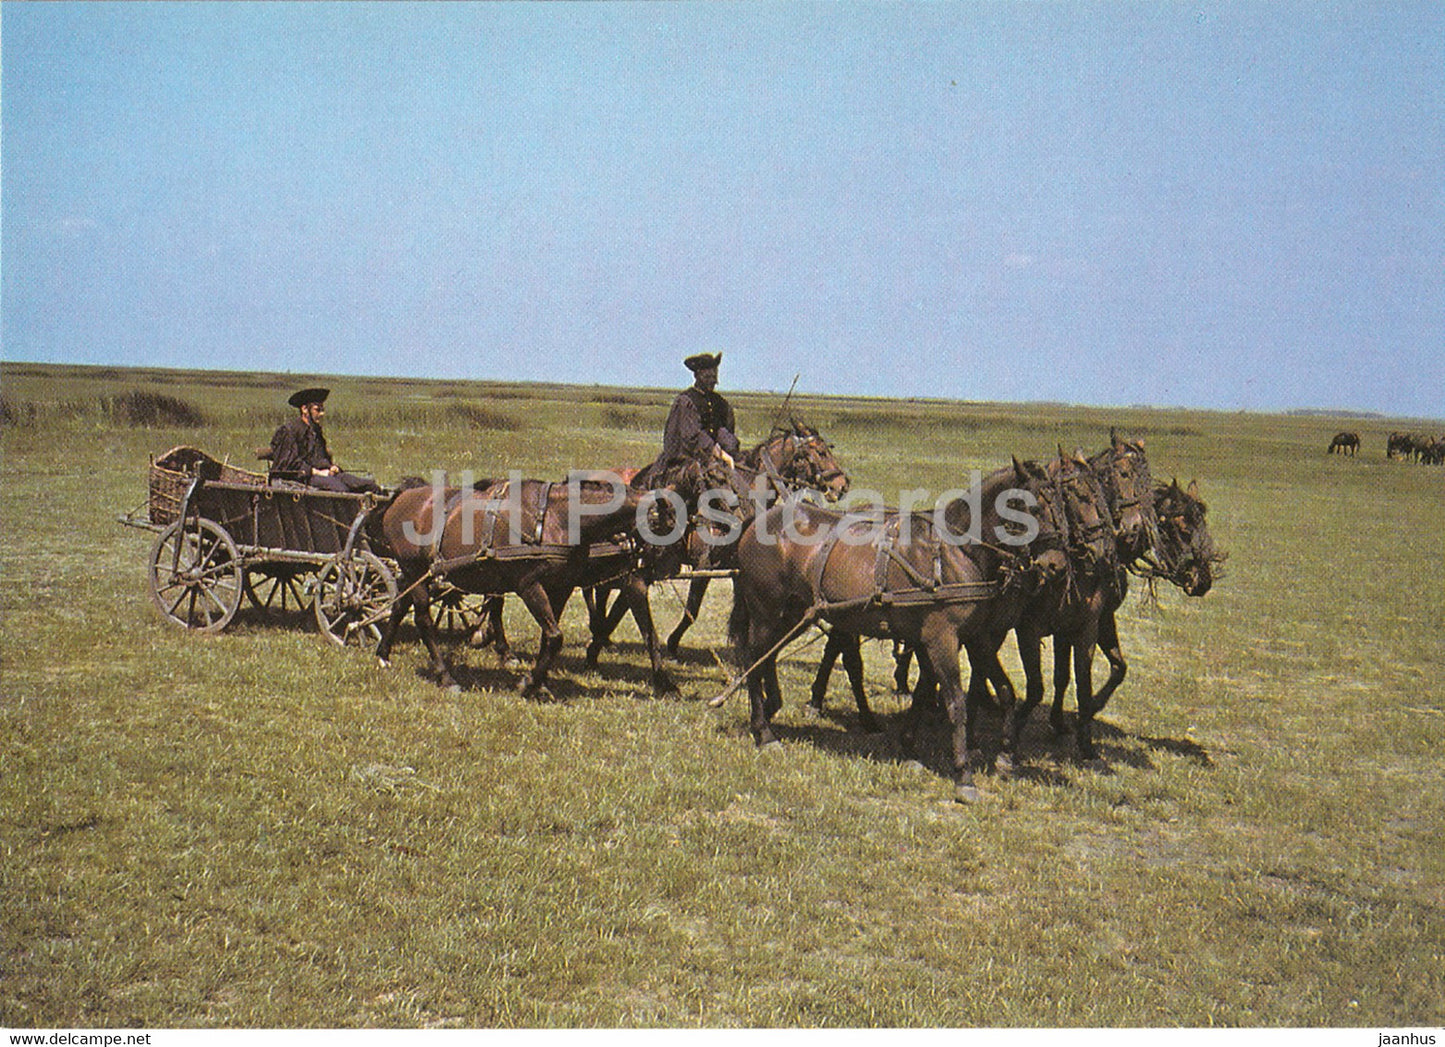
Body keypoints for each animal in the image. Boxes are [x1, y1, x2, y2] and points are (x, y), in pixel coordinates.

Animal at [373, 474, 687, 698]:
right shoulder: (528, 585)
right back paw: (445, 676)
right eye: (665, 525)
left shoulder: (560, 587)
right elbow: (555, 636)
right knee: (423, 619)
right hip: (416, 569)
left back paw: (383, 654)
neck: (557, 518)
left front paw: (540, 681)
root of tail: (402, 497)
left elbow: (549, 637)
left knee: (399, 605)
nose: (666, 568)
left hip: (413, 573)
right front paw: (529, 682)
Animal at [725, 460, 1070, 801]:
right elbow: (955, 703)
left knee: (767, 657)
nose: (1055, 565)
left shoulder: (974, 638)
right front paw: (964, 776)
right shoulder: (942, 639)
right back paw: (764, 732)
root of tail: (760, 521)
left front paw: (1002, 757)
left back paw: (772, 708)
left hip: (796, 614)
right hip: (766, 612)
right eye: (1029, 507)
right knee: (753, 660)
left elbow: (999, 692)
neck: (955, 553)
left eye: (1060, 505)